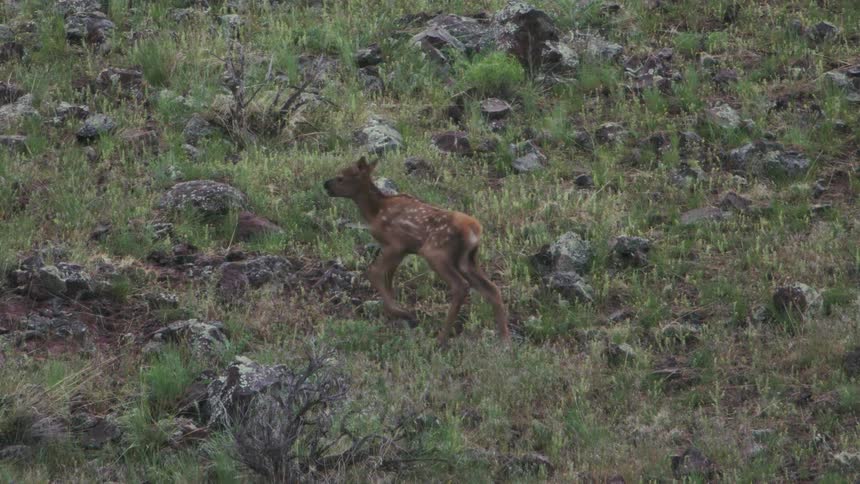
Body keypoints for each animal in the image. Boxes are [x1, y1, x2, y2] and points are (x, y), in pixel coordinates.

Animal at [324, 157, 510, 346]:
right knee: (492, 289)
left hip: (436, 252)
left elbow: (374, 273)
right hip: (467, 260)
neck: (375, 212)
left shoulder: (396, 244)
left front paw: (404, 314)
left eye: (341, 177)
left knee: (461, 286)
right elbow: (388, 278)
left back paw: (441, 338)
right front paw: (394, 313)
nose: (326, 184)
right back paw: (504, 338)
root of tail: (474, 230)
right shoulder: (402, 250)